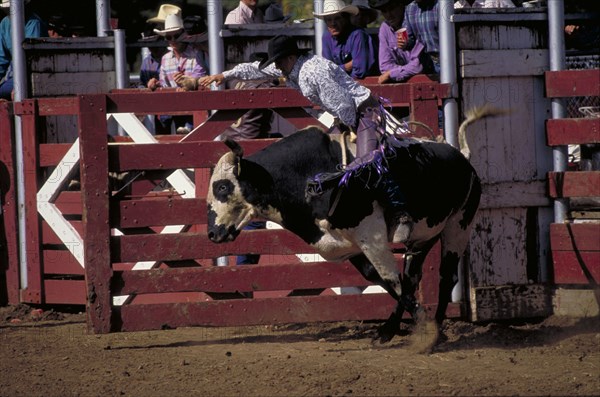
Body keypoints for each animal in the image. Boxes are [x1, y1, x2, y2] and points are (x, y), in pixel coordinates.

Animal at [206, 106, 496, 344]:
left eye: (222, 187)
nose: (211, 233)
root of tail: (462, 157)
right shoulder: (351, 245)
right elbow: (380, 278)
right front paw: (408, 328)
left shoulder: (371, 236)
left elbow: (391, 279)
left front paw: (420, 332)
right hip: (424, 236)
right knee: (413, 277)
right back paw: (403, 329)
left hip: (459, 225)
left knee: (446, 276)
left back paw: (431, 327)